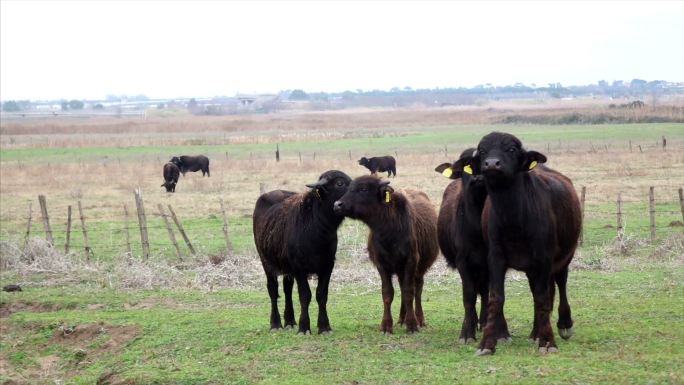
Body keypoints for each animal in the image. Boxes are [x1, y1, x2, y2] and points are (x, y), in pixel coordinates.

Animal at [255, 170, 356, 332]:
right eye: (339, 183)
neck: (318, 232)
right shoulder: (299, 267)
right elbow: (304, 295)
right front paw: (304, 327)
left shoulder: (328, 265)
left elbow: (321, 295)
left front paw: (324, 327)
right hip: (266, 261)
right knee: (273, 290)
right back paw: (276, 324)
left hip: (287, 268)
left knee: (287, 290)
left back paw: (290, 321)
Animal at [332, 176, 438, 332]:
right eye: (349, 187)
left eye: (363, 189)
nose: (337, 205)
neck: (388, 232)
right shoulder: (381, 264)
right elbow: (388, 293)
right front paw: (386, 325)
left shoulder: (411, 261)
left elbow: (409, 292)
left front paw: (412, 324)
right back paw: (401, 319)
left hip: (420, 267)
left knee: (418, 289)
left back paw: (419, 319)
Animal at [436, 148, 510, 344]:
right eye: (466, 165)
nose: (478, 177)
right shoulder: (463, 262)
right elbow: (468, 295)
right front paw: (467, 332)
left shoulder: (496, 261)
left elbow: (493, 294)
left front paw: (501, 331)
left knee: (484, 292)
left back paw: (484, 322)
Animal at [470, 131, 584, 354]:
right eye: (482, 151)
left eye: (511, 149)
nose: (492, 164)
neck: (513, 219)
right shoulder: (495, 257)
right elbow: (497, 297)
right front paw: (487, 343)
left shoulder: (543, 257)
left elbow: (542, 298)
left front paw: (548, 342)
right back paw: (535, 332)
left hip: (565, 255)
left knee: (560, 283)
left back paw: (563, 325)